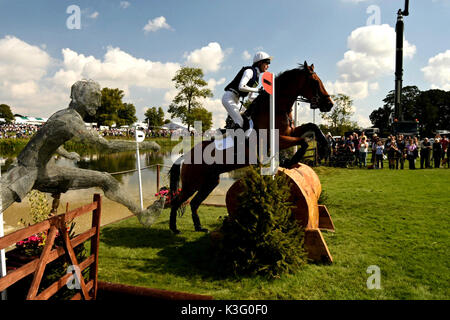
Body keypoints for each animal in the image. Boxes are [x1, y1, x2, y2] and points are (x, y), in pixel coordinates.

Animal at [167, 61, 332, 234]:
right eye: (315, 82)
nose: (329, 104)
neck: (274, 109)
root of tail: (186, 156)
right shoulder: (278, 139)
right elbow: (304, 141)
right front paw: (290, 161)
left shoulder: (289, 132)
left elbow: (312, 127)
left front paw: (324, 147)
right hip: (192, 183)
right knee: (178, 201)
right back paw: (174, 228)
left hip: (210, 182)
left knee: (194, 202)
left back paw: (199, 227)